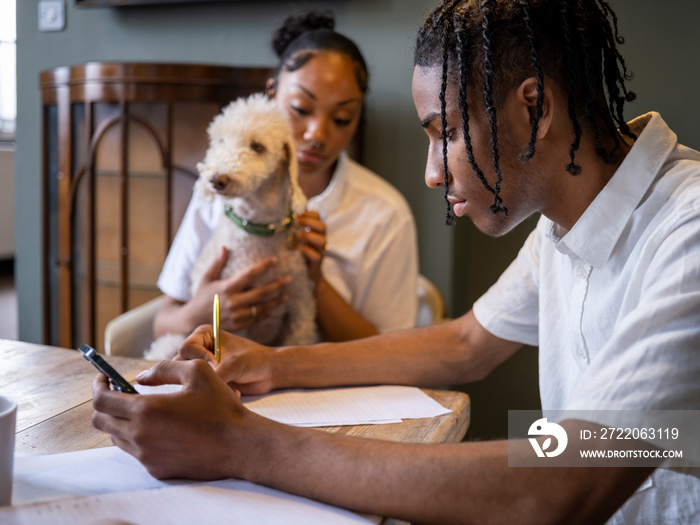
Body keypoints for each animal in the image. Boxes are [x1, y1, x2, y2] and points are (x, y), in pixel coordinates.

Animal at [146, 92, 318, 358]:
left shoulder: (300, 302)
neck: (258, 229)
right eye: (220, 141)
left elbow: (300, 338)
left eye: (257, 146)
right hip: (172, 341)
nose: (216, 179)